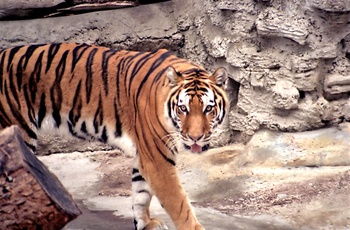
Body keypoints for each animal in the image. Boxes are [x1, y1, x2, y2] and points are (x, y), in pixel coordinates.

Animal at [0, 42, 230, 228]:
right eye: (183, 109)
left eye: (208, 109)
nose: (195, 137)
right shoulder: (157, 160)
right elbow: (179, 204)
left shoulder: (145, 156)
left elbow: (141, 194)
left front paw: (145, 224)